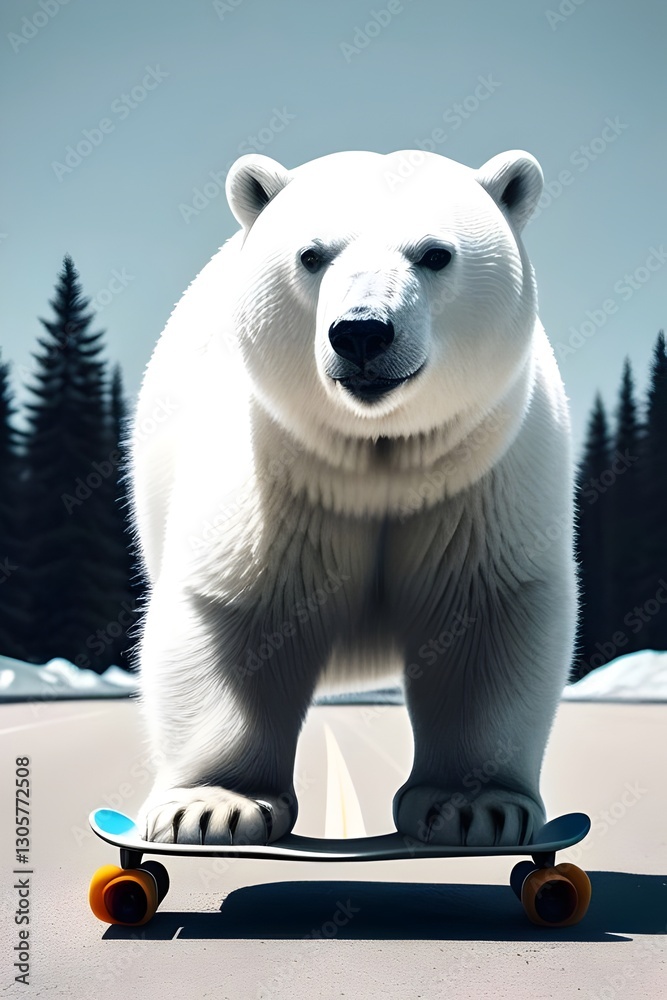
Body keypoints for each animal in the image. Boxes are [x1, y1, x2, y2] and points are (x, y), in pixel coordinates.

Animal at [131, 148, 576, 849]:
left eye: (435, 253)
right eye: (312, 254)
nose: (362, 333)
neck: (374, 454)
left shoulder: (479, 484)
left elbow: (482, 613)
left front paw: (474, 806)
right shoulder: (272, 481)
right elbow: (236, 610)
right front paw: (212, 807)